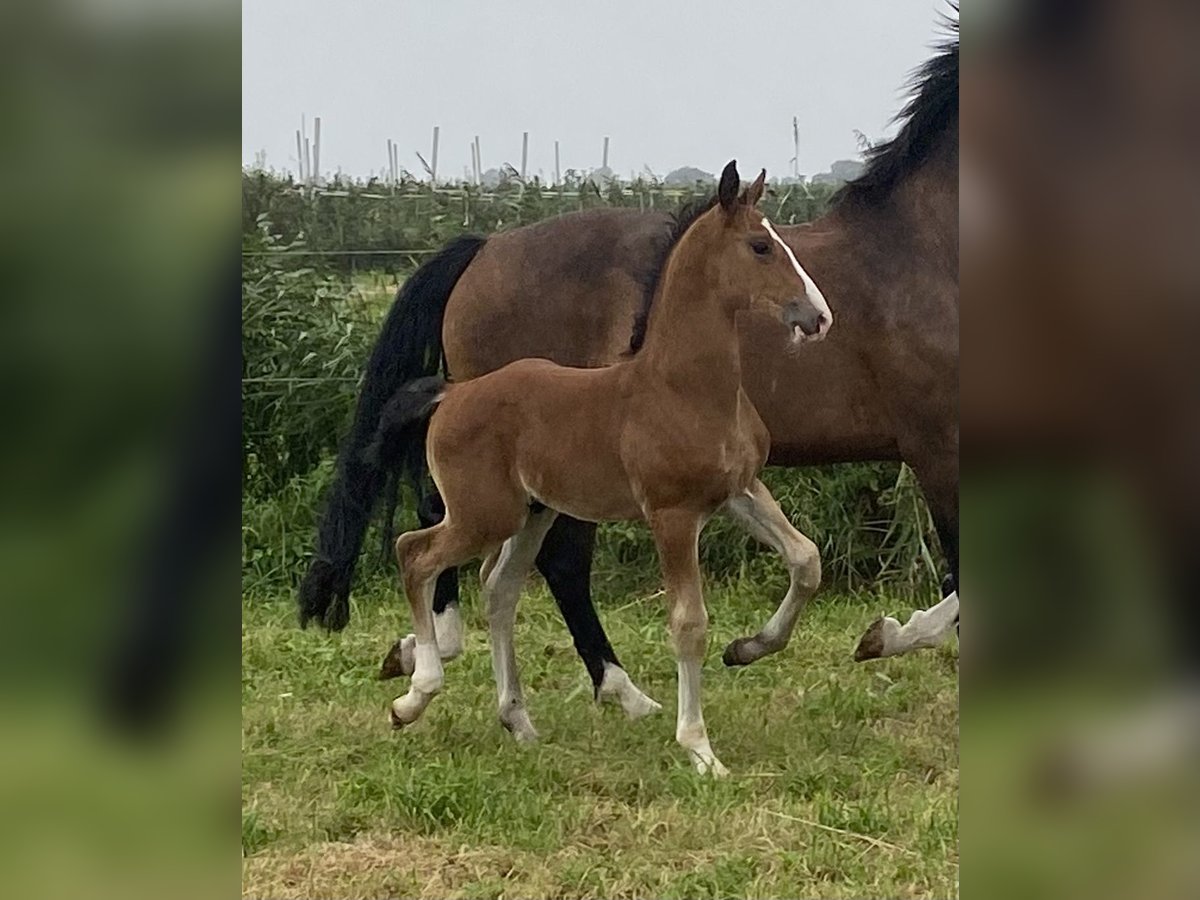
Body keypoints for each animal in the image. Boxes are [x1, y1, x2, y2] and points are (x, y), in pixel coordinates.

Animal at [304, 31, 960, 705]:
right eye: (759, 247)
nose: (819, 317)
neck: (922, 253)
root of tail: (483, 248)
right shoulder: (938, 446)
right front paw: (884, 636)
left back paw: (433, 653)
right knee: (533, 553)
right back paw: (605, 685)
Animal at [379, 164, 830, 777]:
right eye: (760, 246)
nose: (819, 317)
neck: (680, 387)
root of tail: (451, 394)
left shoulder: (739, 490)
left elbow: (805, 559)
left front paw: (748, 648)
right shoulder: (671, 514)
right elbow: (688, 623)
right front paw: (700, 750)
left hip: (533, 512)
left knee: (499, 589)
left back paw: (517, 720)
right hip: (483, 515)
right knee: (415, 553)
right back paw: (414, 696)